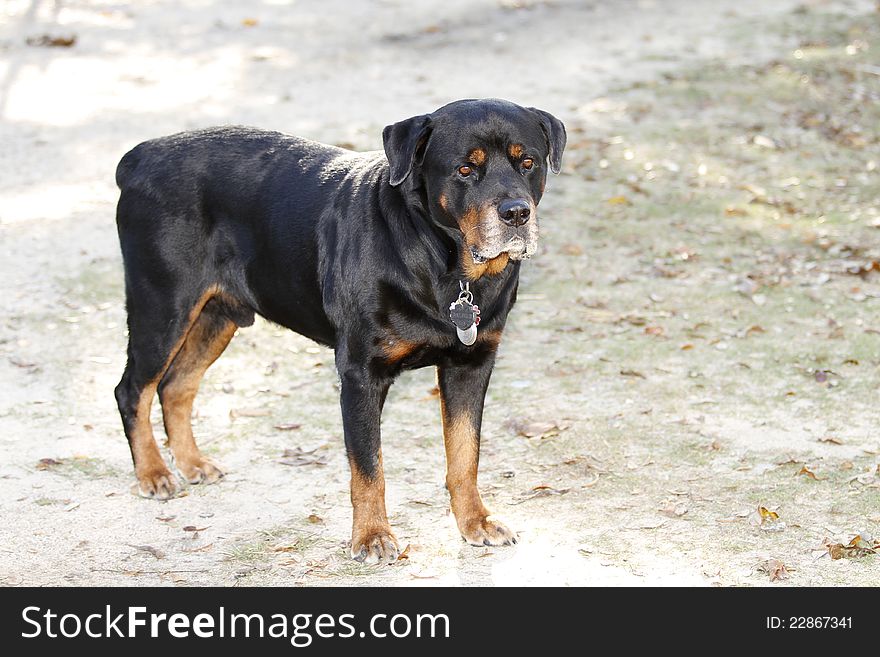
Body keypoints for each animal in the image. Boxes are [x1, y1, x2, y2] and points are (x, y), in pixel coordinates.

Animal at [115, 100, 564, 560]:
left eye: (528, 162)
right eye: (465, 169)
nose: (516, 213)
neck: (446, 267)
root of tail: (141, 156)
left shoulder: (471, 365)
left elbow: (465, 453)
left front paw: (475, 521)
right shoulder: (361, 374)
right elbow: (368, 466)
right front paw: (372, 535)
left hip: (216, 316)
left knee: (177, 386)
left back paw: (191, 463)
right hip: (163, 307)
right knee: (133, 389)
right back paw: (153, 473)